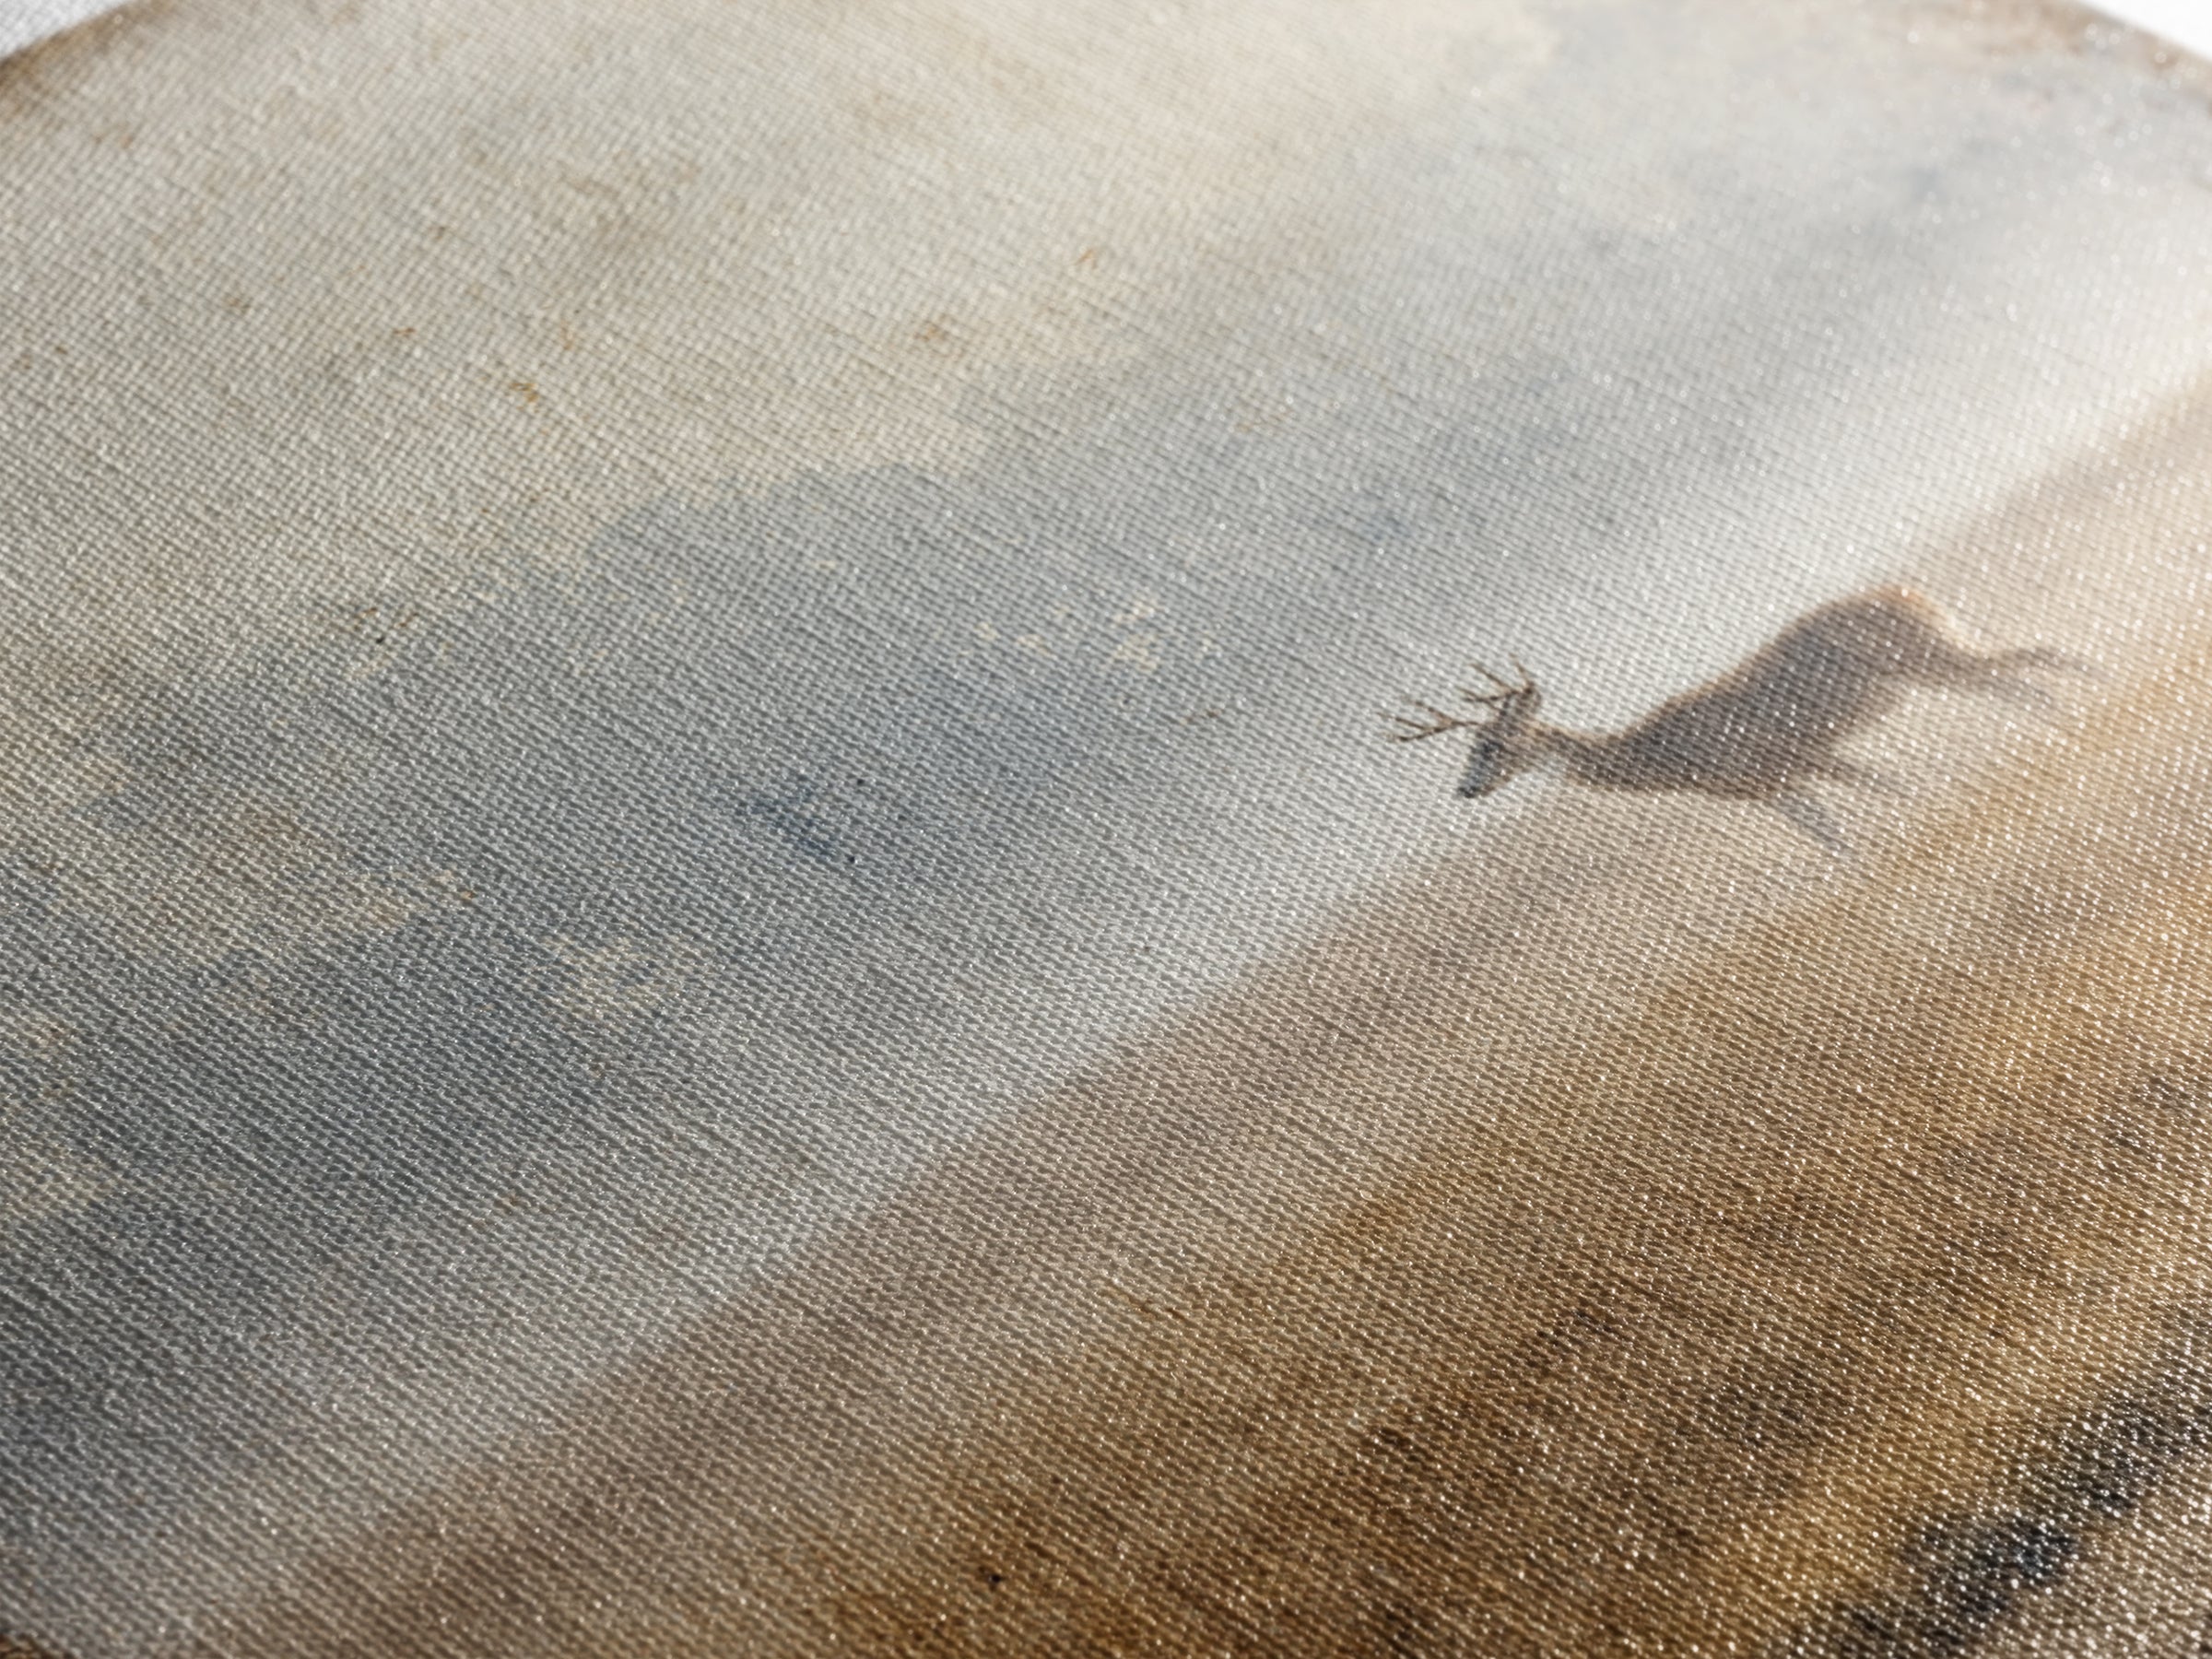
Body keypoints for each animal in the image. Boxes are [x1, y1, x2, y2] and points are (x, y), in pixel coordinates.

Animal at [1387, 585, 2087, 852]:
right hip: (1936, 664)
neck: (1671, 757)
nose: (1465, 790)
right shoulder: (1771, 785)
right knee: (2020, 682)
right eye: (1470, 750)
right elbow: (1838, 838)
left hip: (1931, 657)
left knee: (2037, 661)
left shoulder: (1792, 757)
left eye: (1497, 746)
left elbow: (1885, 794)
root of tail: (1913, 592)